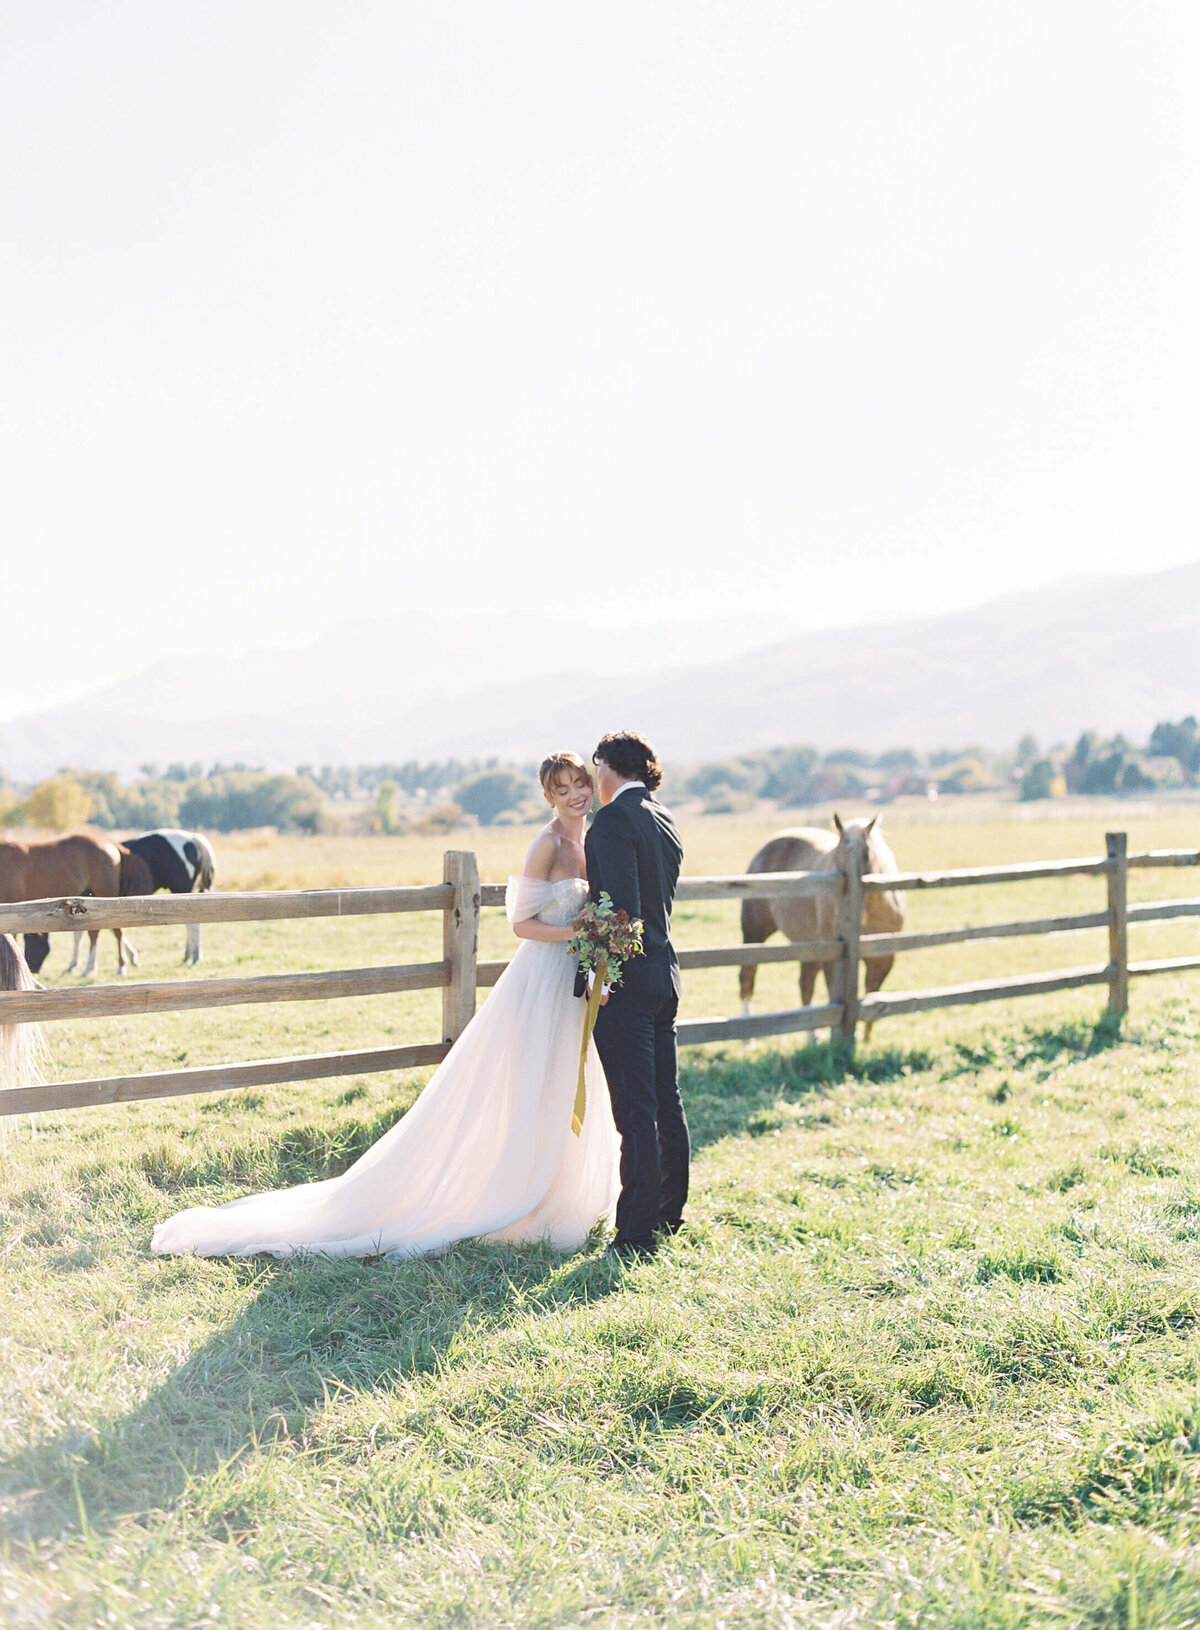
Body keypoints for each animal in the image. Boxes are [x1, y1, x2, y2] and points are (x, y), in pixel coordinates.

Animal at [736, 821, 906, 1036]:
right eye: (834, 858)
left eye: (867, 855)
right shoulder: (833, 958)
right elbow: (835, 996)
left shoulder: (883, 958)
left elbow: (872, 993)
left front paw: (866, 1038)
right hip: (754, 932)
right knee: (747, 979)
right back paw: (746, 1039)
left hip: (809, 946)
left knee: (805, 985)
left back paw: (812, 1037)